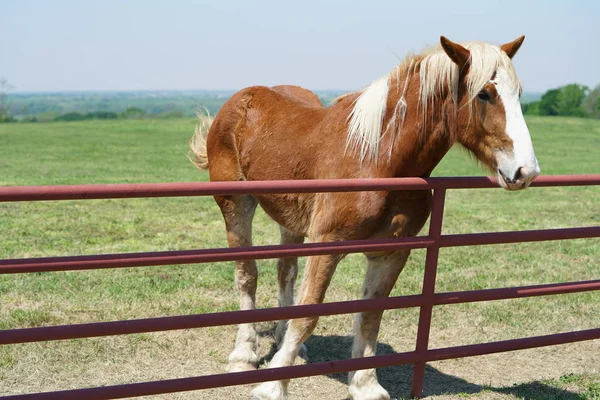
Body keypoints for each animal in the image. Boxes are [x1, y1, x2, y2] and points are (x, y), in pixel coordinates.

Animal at [191, 36, 540, 398]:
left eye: (518, 93)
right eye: (484, 94)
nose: (525, 171)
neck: (376, 158)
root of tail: (237, 102)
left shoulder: (391, 253)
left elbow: (370, 315)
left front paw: (365, 384)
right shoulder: (326, 245)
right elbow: (309, 312)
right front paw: (273, 386)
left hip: (289, 219)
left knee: (285, 271)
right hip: (235, 204)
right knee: (247, 274)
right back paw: (243, 355)